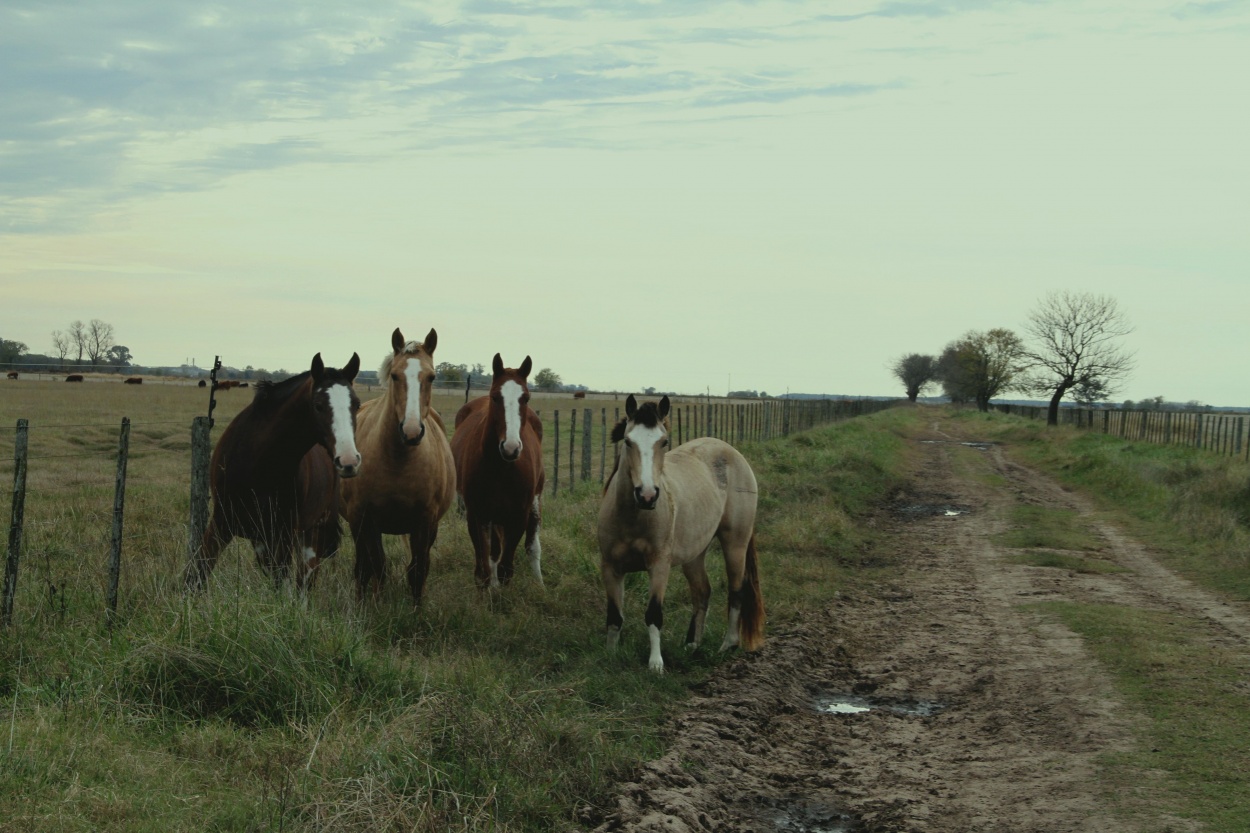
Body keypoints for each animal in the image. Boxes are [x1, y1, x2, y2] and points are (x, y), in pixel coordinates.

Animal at [185, 350, 365, 590]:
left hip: (311, 534)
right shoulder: (222, 523)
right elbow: (196, 576)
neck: (258, 463)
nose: (348, 461)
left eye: (356, 404)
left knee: (304, 582)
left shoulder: (284, 534)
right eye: (318, 405)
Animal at [340, 325, 457, 602]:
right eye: (394, 376)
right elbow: (376, 568)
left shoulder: (425, 523)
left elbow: (417, 571)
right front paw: (374, 608)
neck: (398, 461)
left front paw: (417, 611)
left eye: (432, 377)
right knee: (364, 567)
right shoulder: (365, 520)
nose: (411, 431)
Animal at [452, 352, 545, 587]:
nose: (510, 447)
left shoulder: (518, 516)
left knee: (532, 546)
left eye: (525, 398)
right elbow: (483, 568)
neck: (502, 468)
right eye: (495, 397)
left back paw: (540, 585)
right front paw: (489, 590)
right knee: (493, 552)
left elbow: (506, 568)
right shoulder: (477, 514)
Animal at [595, 392, 760, 670]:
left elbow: (653, 614)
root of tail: (731, 452)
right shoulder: (611, 567)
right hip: (695, 554)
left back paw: (728, 645)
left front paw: (656, 664)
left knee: (736, 590)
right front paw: (610, 656)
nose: (647, 495)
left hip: (735, 542)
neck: (632, 518)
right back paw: (692, 644)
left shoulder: (659, 565)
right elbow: (614, 617)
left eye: (664, 442)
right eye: (628, 441)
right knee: (702, 592)